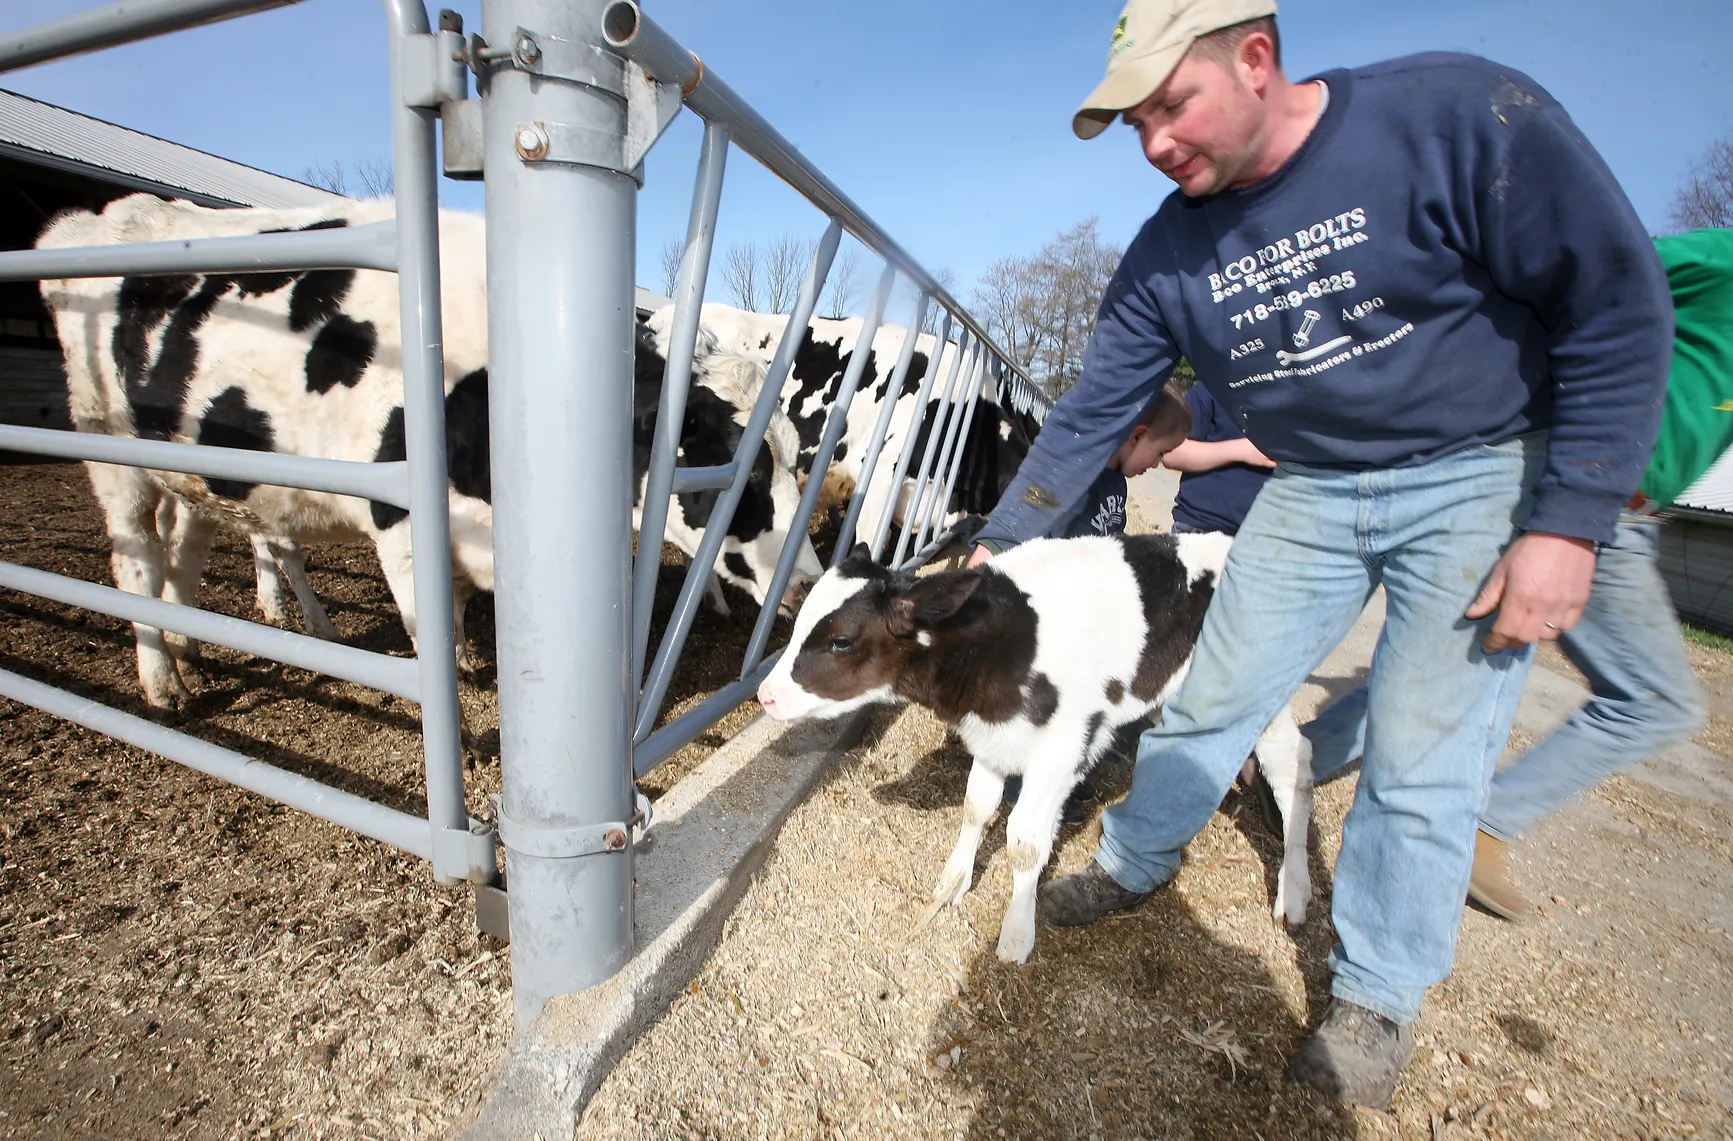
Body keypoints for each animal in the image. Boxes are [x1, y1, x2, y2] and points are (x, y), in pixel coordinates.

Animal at [38, 196, 817, 710]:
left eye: (794, 457)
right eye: (741, 470)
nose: (808, 580)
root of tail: (94, 222)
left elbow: (461, 609)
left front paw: (471, 655)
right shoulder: (403, 524)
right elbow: (431, 625)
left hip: (197, 467)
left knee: (187, 545)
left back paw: (192, 646)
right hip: (109, 454)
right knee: (136, 557)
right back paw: (162, 680)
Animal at [759, 534, 1310, 957]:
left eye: (841, 641)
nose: (765, 694)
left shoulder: (1062, 751)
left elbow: (1024, 842)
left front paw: (1017, 934)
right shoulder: (993, 736)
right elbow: (977, 807)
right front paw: (953, 881)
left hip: (1260, 691)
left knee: (1294, 763)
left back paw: (1295, 891)